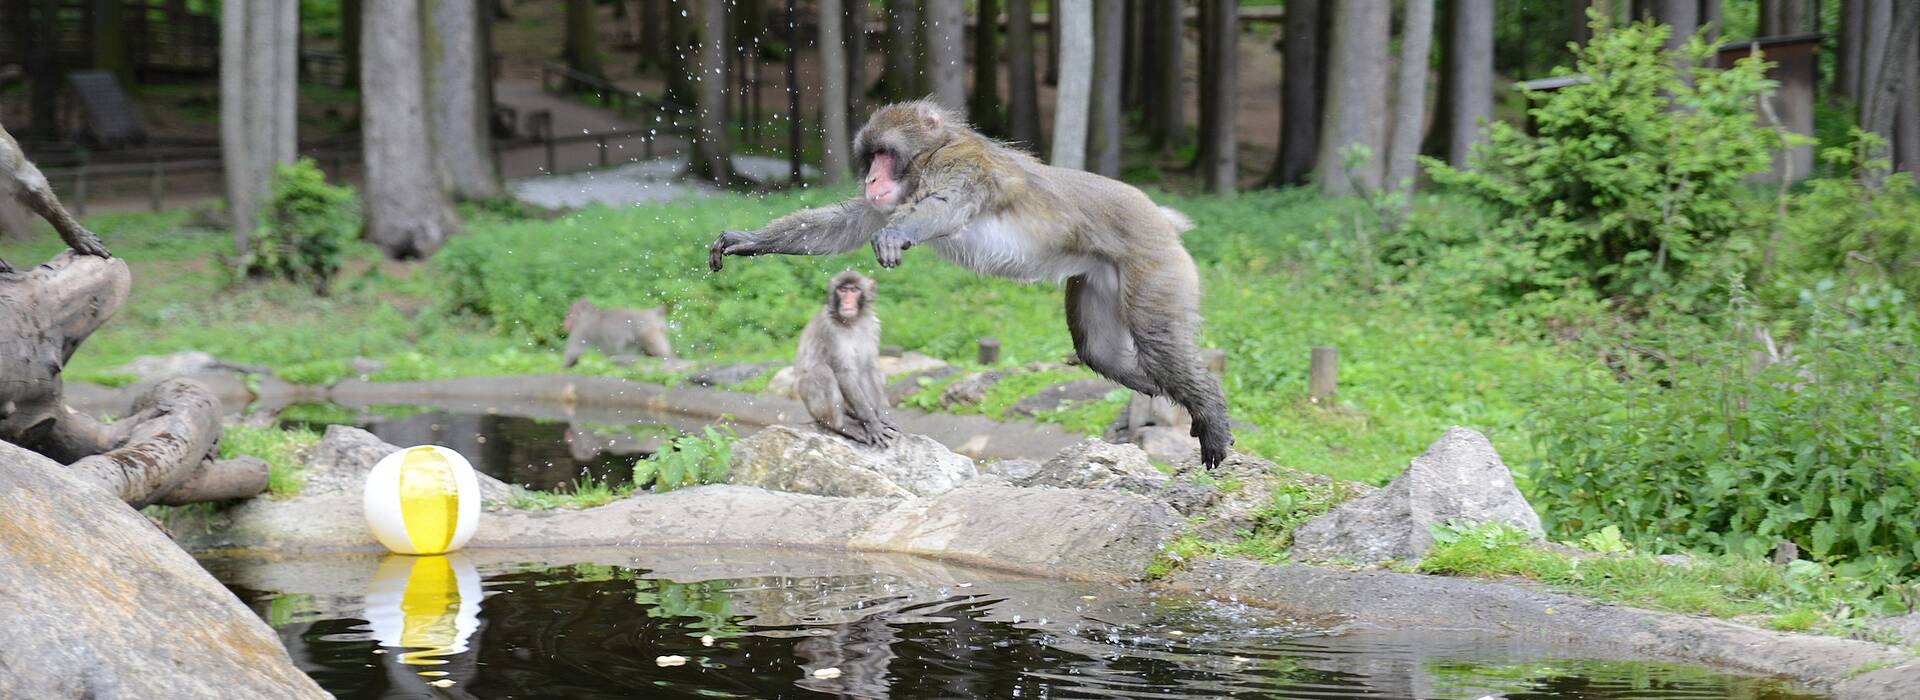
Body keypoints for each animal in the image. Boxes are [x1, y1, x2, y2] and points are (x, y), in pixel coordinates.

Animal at [714, 100, 1236, 466]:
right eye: (870, 158)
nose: (872, 180)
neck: (927, 155)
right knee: (1101, 351)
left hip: (1154, 263)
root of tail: (1162, 218)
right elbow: (844, 225)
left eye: (883, 154)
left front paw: (894, 235)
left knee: (1157, 339)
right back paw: (1168, 395)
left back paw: (1207, 406)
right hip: (1100, 274)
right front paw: (748, 241)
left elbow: (943, 206)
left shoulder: (960, 165)